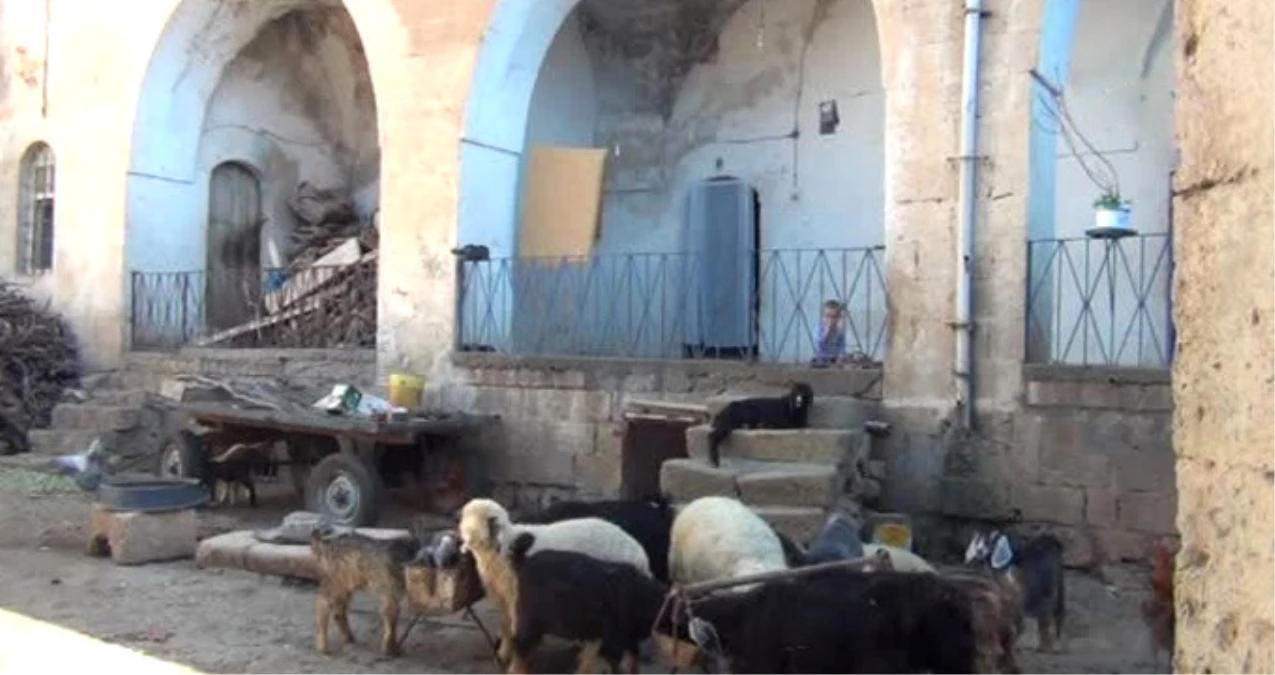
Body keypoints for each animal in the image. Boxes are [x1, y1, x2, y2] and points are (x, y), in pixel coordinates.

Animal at [459, 495, 652, 663]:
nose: (464, 537)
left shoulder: (517, 595)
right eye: (465, 516)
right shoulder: (503, 595)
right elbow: (505, 624)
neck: (503, 547)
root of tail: (640, 554)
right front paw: (502, 654)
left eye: (477, 519)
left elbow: (514, 627)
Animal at [504, 530, 673, 673]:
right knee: (519, 646)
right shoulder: (612, 643)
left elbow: (633, 663)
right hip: (532, 620)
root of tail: (524, 561)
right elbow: (616, 667)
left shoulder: (629, 640)